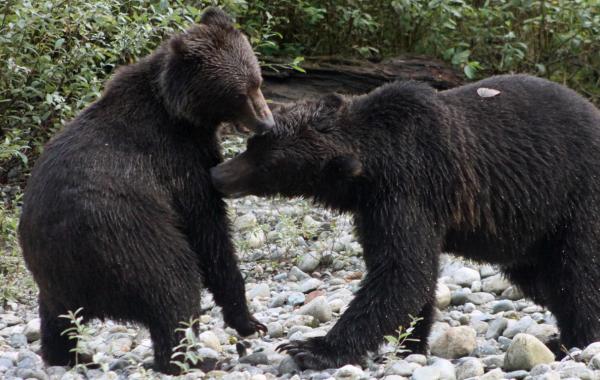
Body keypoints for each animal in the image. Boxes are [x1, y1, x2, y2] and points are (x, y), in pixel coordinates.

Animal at [18, 5, 272, 374]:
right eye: (241, 92)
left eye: (258, 81)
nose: (266, 122)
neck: (178, 111)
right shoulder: (177, 159)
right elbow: (209, 230)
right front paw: (248, 320)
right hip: (127, 239)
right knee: (173, 286)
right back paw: (193, 359)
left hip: (51, 273)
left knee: (55, 316)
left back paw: (72, 355)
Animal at [210, 73, 600, 368]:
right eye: (253, 142)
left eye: (267, 162)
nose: (218, 174)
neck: (374, 165)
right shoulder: (374, 208)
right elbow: (408, 274)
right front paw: (410, 344)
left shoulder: (411, 188)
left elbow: (402, 271)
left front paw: (310, 347)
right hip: (530, 231)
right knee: (541, 278)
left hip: (575, 197)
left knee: (576, 273)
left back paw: (574, 340)